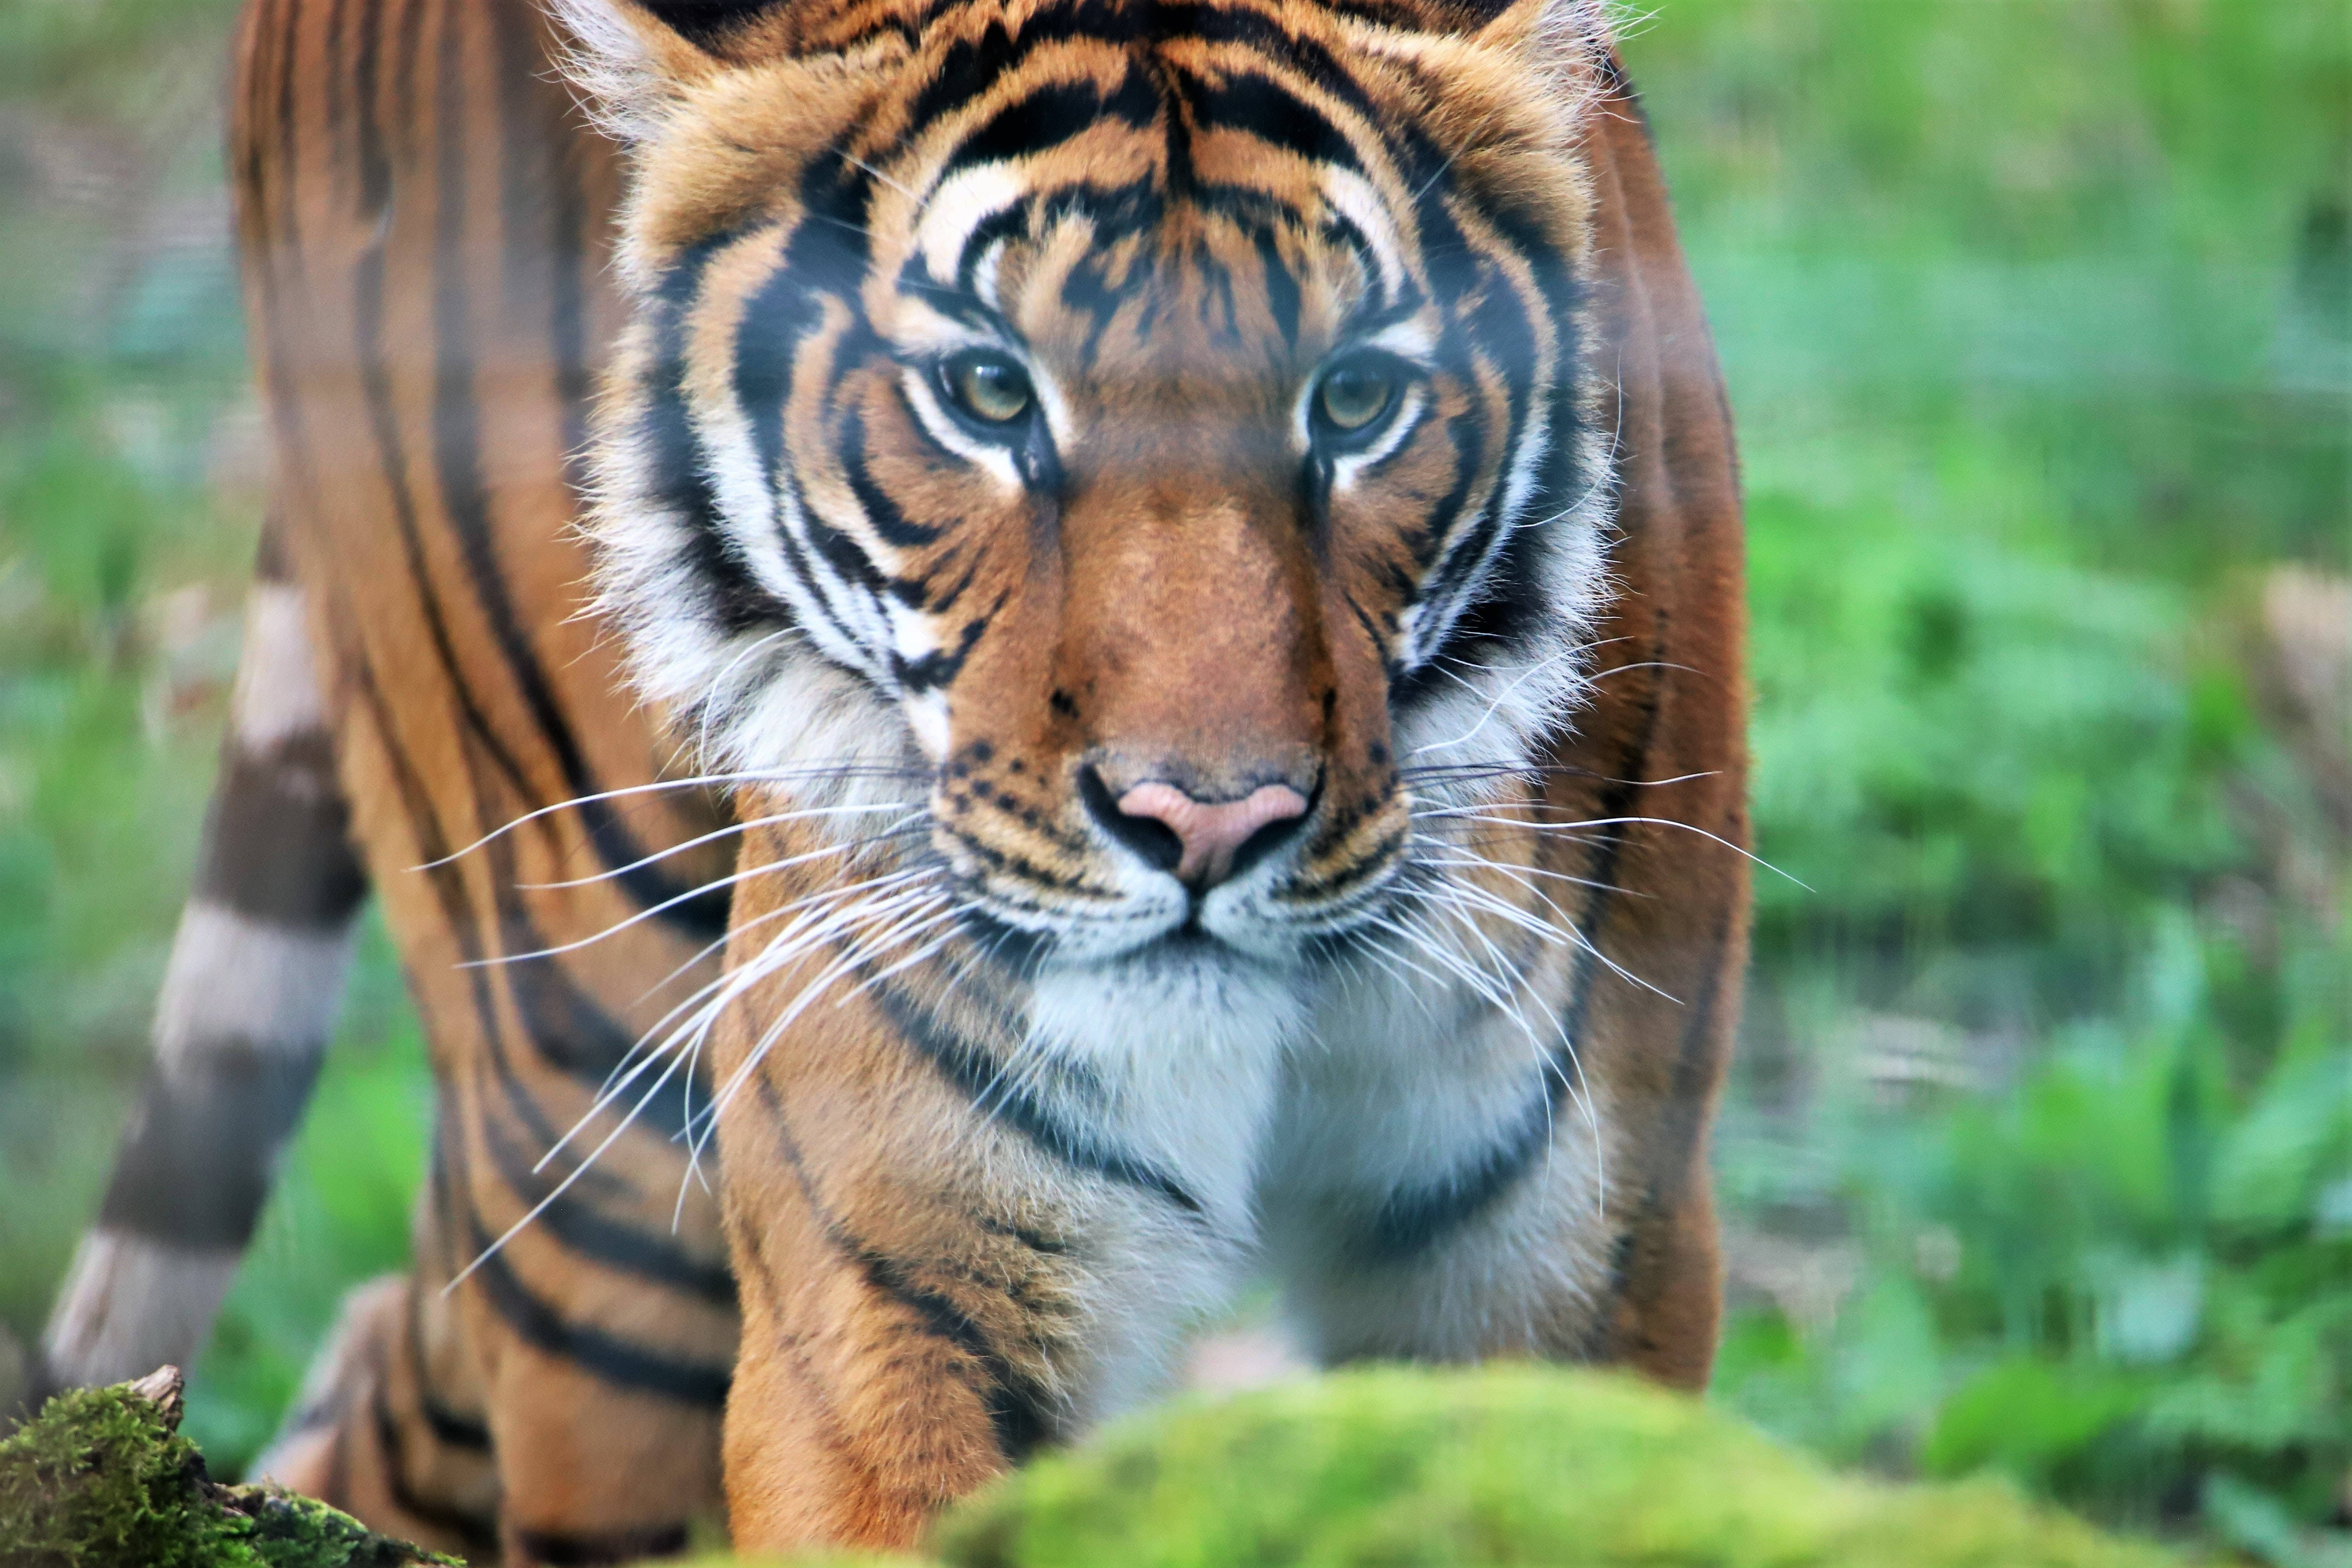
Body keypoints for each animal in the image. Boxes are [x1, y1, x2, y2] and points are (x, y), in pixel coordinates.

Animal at [31, 0, 1749, 1559]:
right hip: (599, 1126)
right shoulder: (893, 1274)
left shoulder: (1582, 1262)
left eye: (1356, 401)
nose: (1208, 825)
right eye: (987, 395)